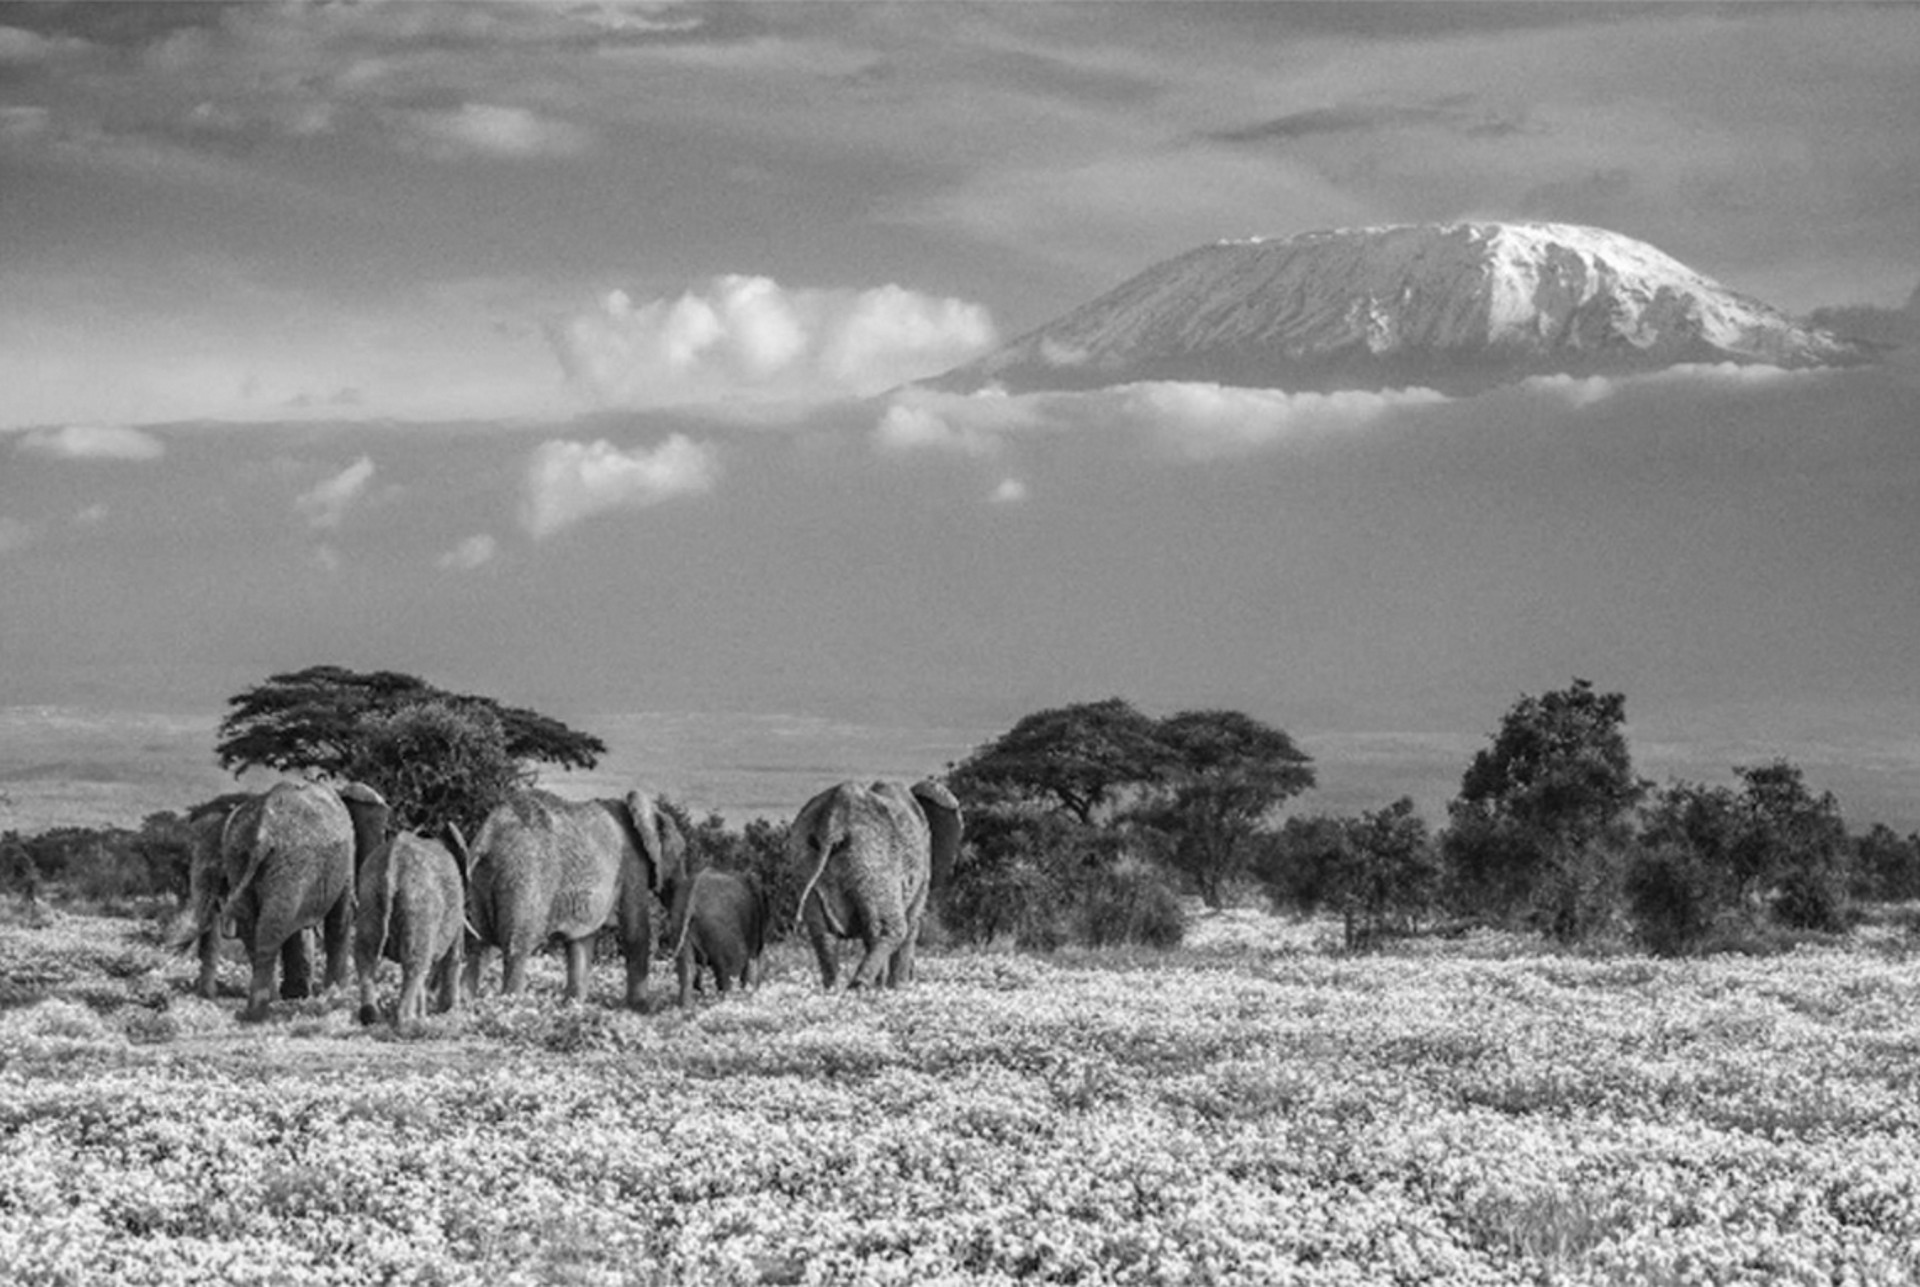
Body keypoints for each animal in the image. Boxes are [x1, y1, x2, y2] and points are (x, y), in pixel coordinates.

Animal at [173, 779, 393, 1021]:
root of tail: (262, 831)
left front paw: (300, 995)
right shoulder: (345, 858)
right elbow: (339, 920)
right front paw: (335, 996)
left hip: (245, 859)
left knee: (256, 928)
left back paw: (260, 1006)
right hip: (291, 863)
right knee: (271, 929)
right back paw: (259, 1012)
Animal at [460, 791, 687, 1014]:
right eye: (680, 854)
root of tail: (487, 837)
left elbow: (581, 942)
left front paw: (572, 1006)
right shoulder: (633, 864)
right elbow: (636, 932)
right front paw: (642, 1008)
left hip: (484, 880)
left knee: (483, 945)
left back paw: (462, 1005)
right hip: (526, 876)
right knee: (517, 947)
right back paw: (512, 1007)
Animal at [664, 872, 768, 1014]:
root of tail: (692, 899)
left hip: (677, 926)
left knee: (687, 971)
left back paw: (687, 1010)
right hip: (720, 932)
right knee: (731, 972)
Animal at [783, 776, 960, 998]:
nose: (913, 977)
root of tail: (832, 824)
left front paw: (884, 987)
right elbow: (912, 924)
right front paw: (898, 988)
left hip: (805, 858)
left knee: (822, 932)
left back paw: (835, 988)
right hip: (875, 861)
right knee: (893, 928)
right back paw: (859, 986)